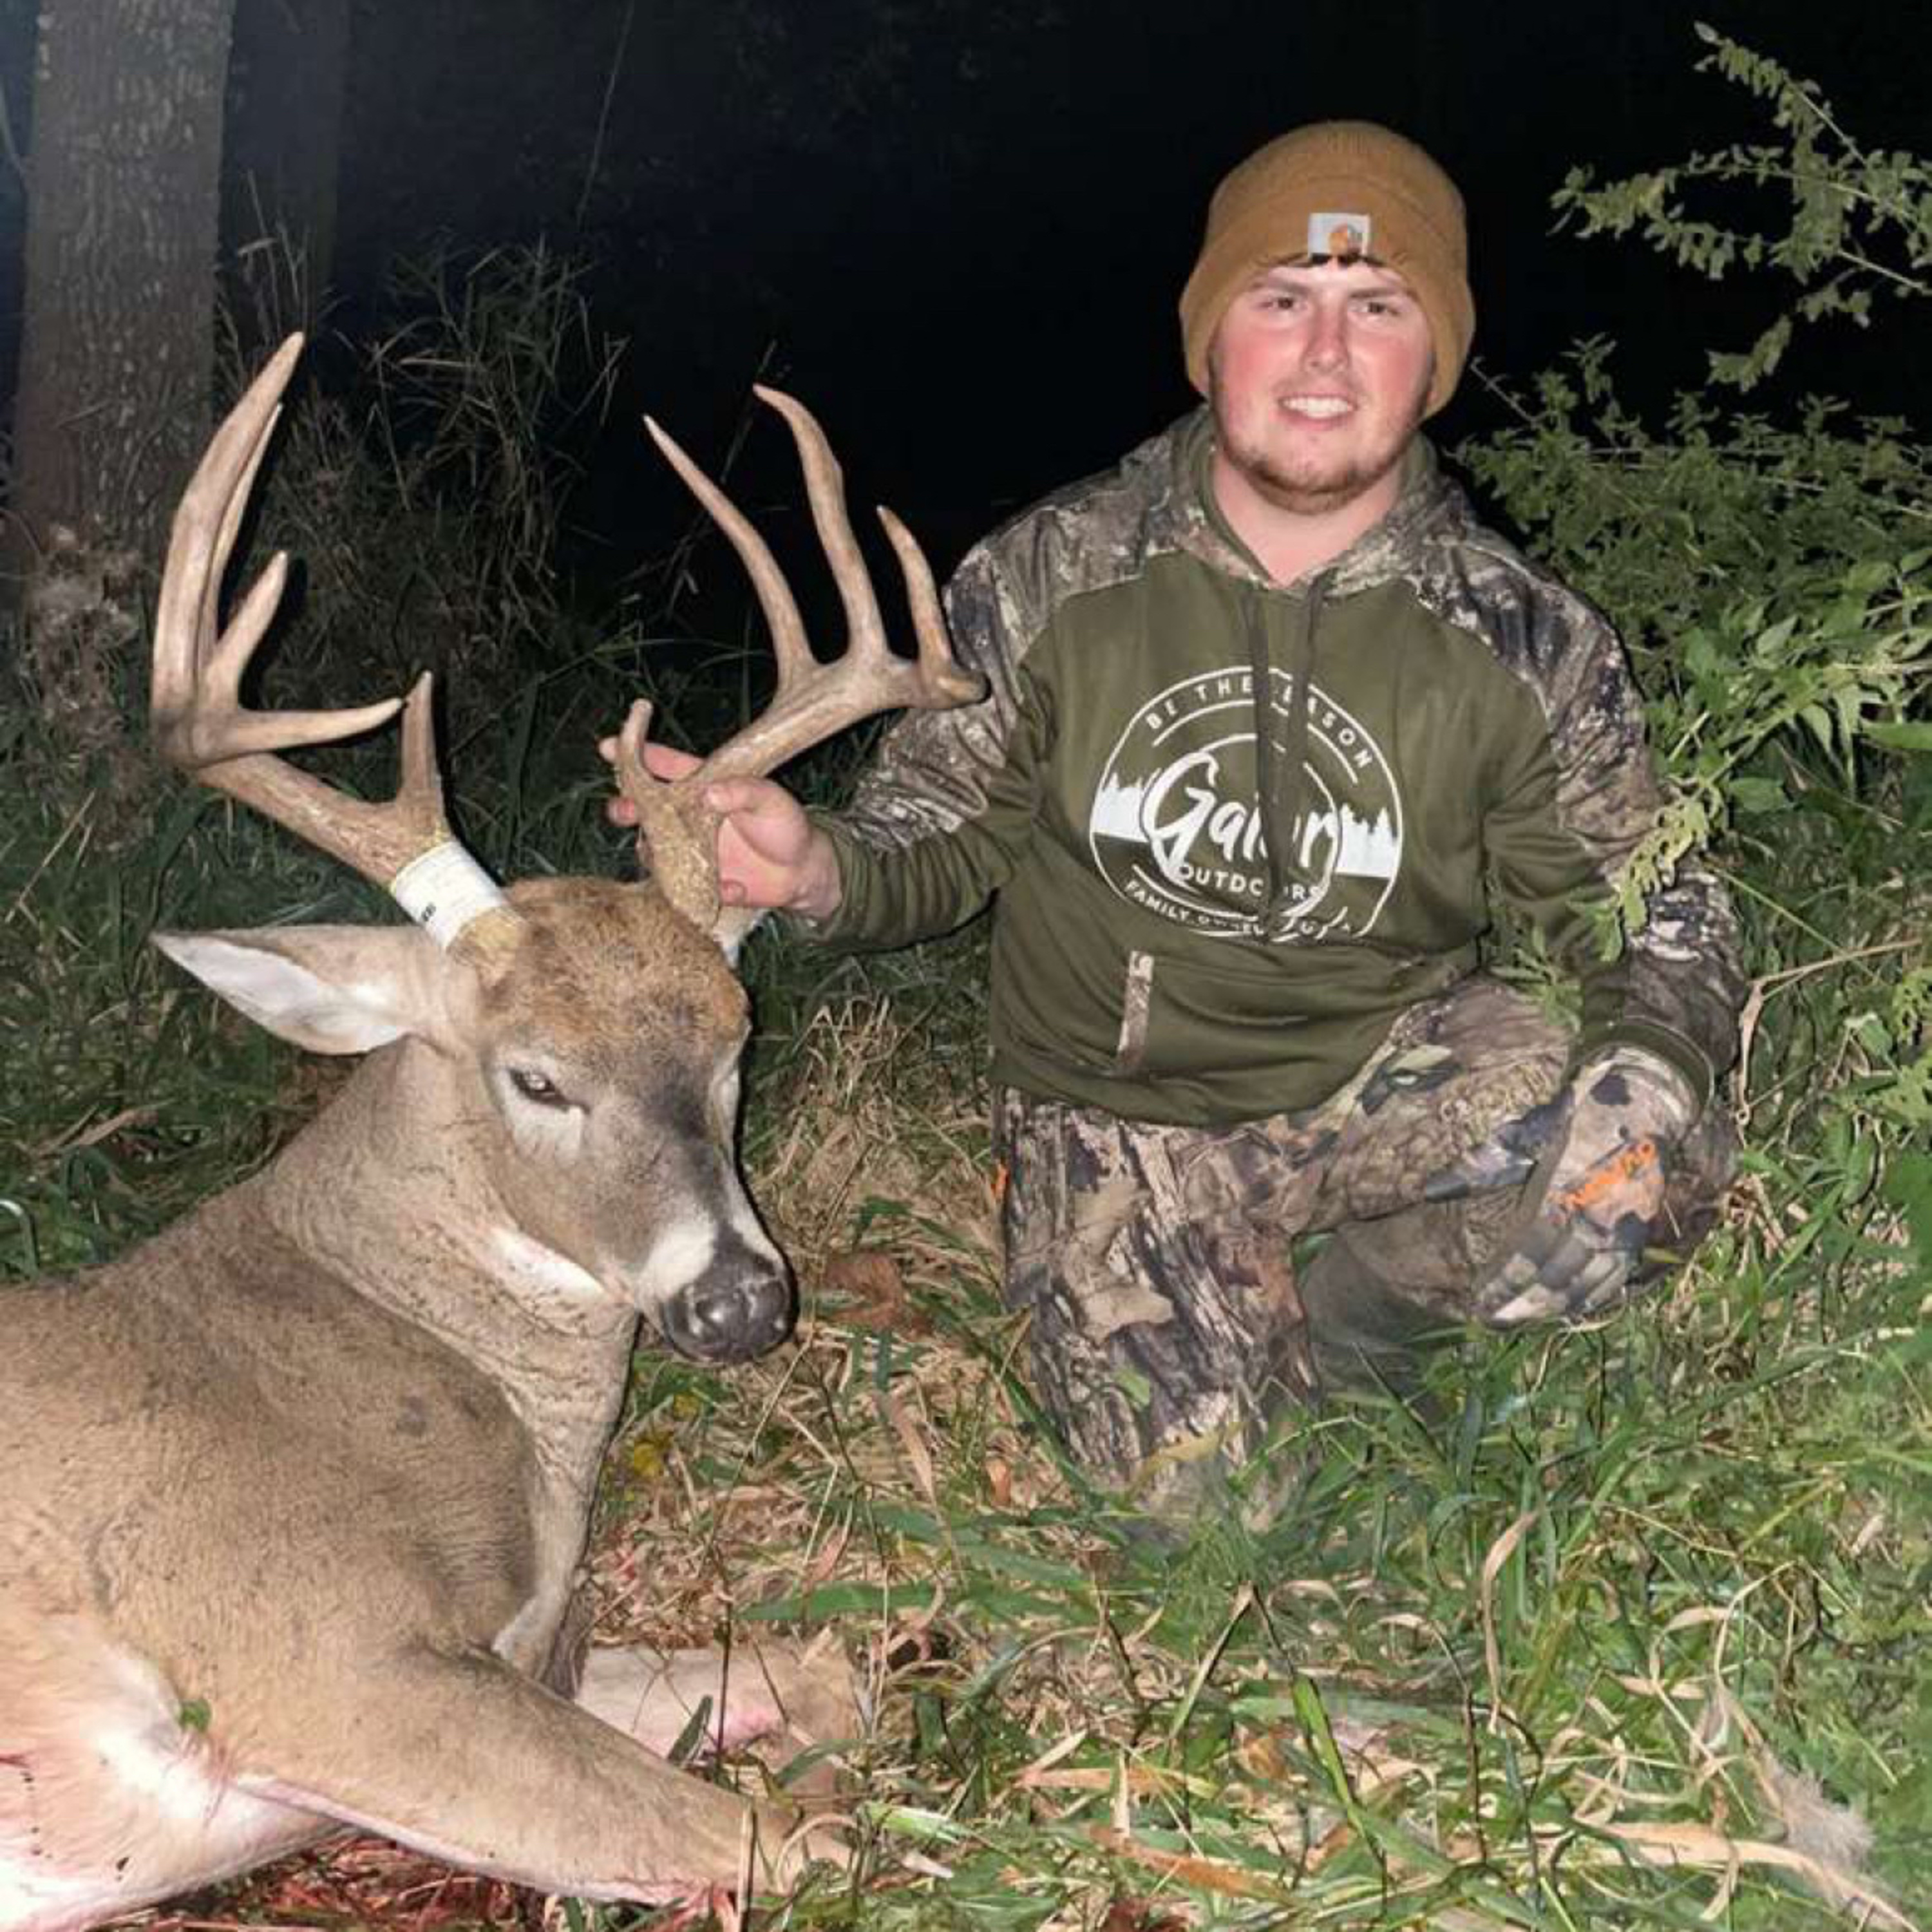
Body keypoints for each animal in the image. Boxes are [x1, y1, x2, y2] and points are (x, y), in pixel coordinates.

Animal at [0, 333, 985, 1932]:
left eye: (738, 1031)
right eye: (535, 1081)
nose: (739, 1301)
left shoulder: (536, 1645)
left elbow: (816, 1667)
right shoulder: (316, 1652)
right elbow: (797, 1849)